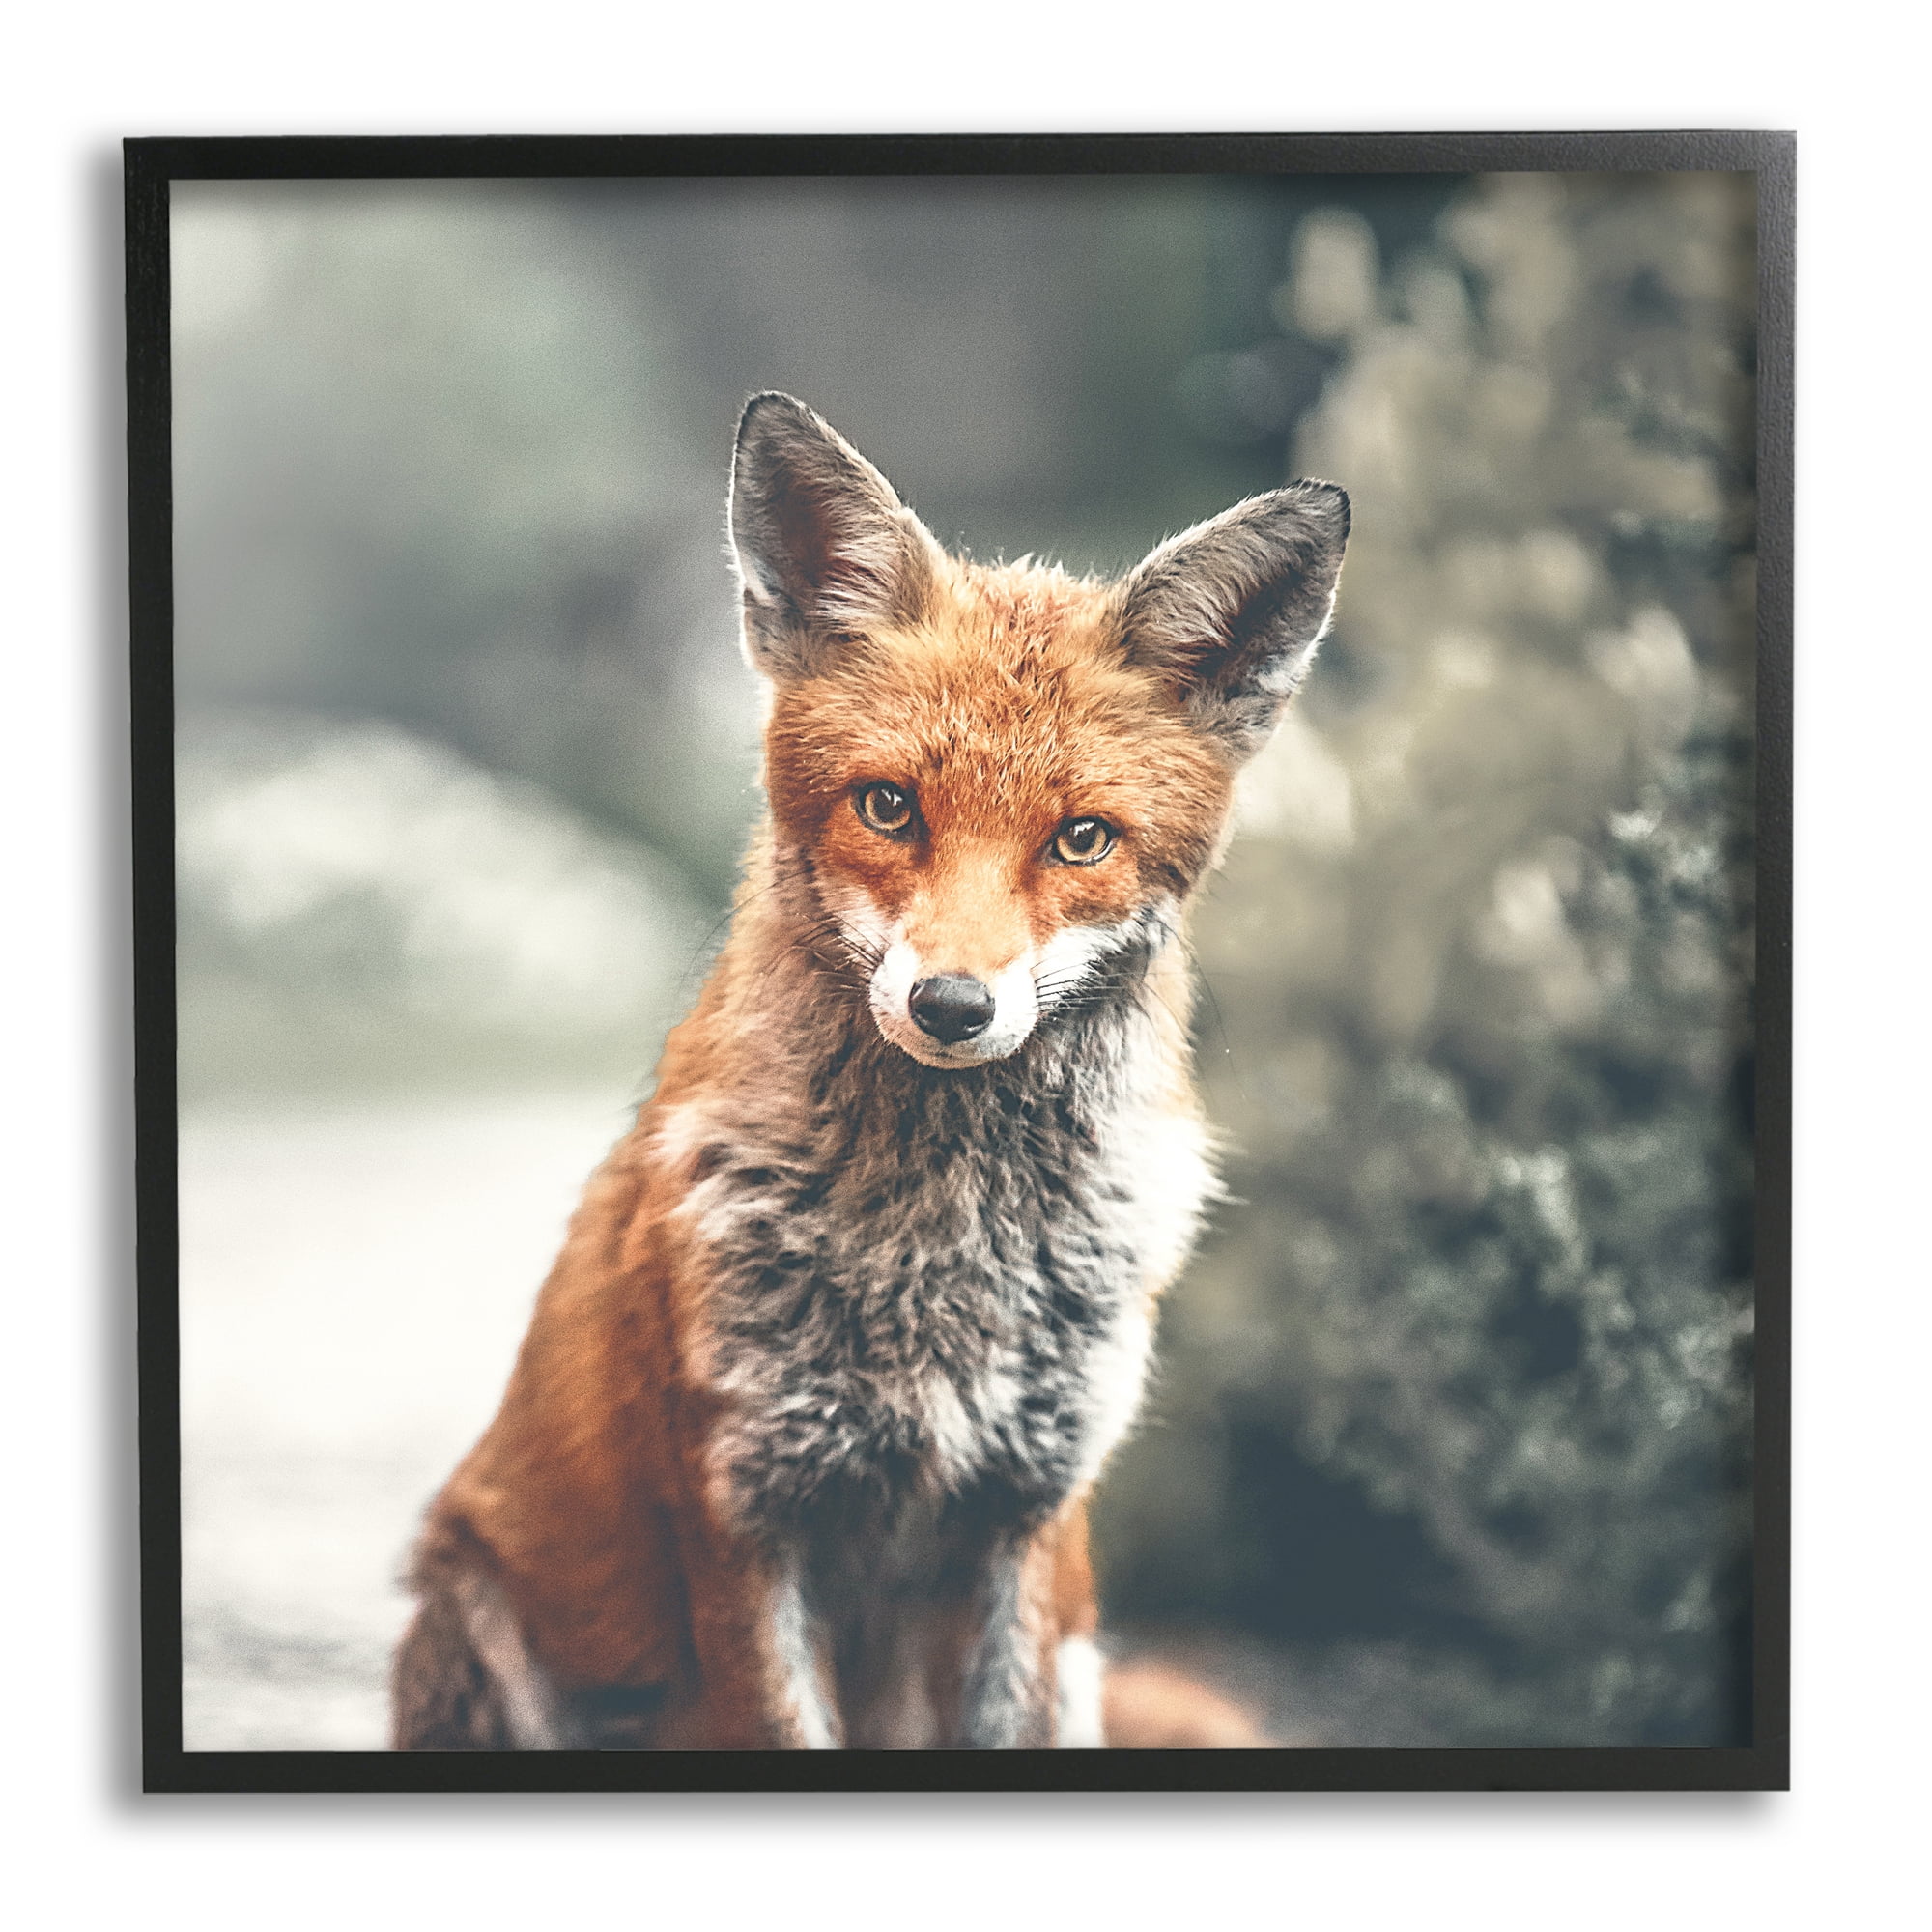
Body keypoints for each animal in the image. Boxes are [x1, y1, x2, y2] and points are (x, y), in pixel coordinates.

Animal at [390, 393, 1348, 1751]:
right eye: (888, 806)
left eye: (1082, 838)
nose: (951, 1004)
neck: (942, 1253)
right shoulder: (743, 1510)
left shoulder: (1025, 1512)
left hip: (1075, 1644)